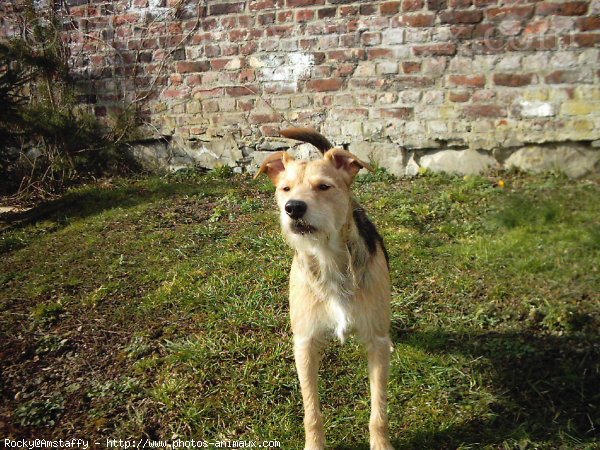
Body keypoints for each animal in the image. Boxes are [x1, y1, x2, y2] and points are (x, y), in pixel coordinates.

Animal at [253, 128, 394, 448]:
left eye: (324, 186)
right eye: (285, 189)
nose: (293, 208)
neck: (329, 260)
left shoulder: (376, 343)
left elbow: (378, 410)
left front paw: (381, 443)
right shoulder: (305, 344)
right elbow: (311, 412)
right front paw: (314, 444)